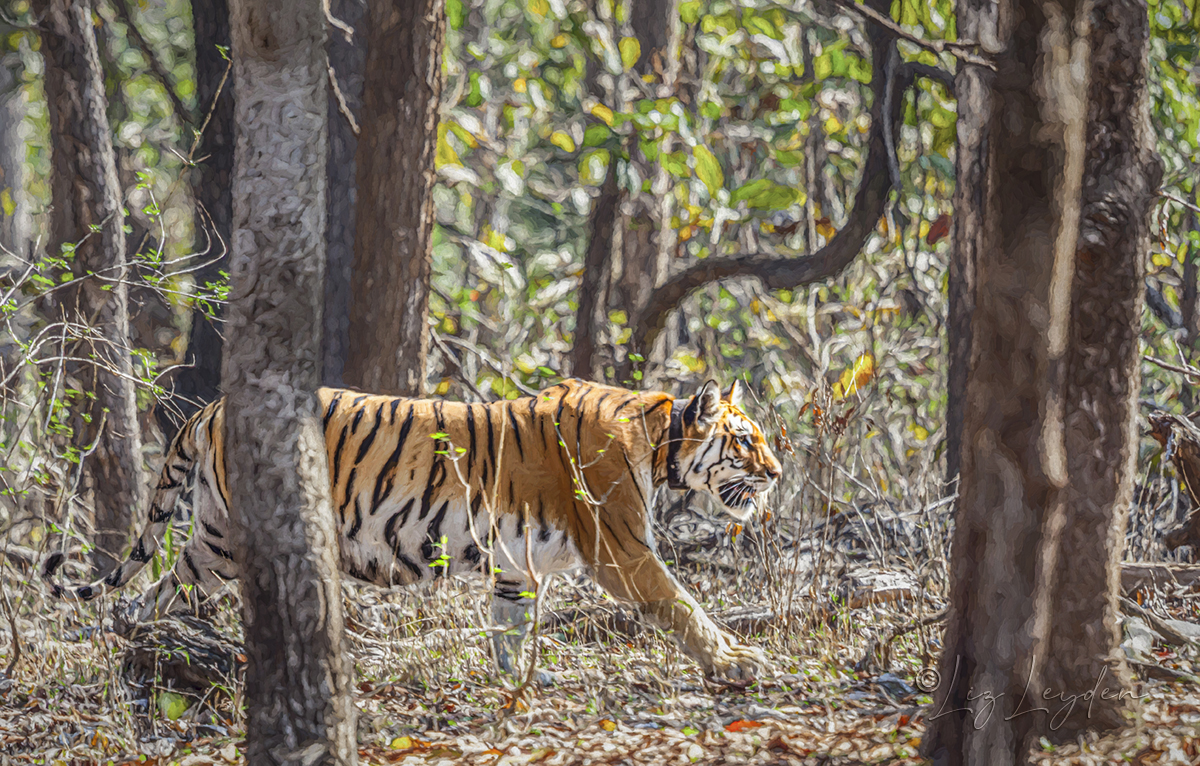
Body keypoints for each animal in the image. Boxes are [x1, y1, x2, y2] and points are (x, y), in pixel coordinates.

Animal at [42, 381, 782, 681]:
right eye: (746, 440)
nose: (777, 472)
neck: (659, 442)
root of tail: (213, 406)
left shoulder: (517, 565)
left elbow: (510, 630)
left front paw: (517, 683)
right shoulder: (622, 549)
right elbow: (683, 605)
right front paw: (737, 662)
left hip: (213, 540)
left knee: (158, 584)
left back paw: (141, 640)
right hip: (237, 536)